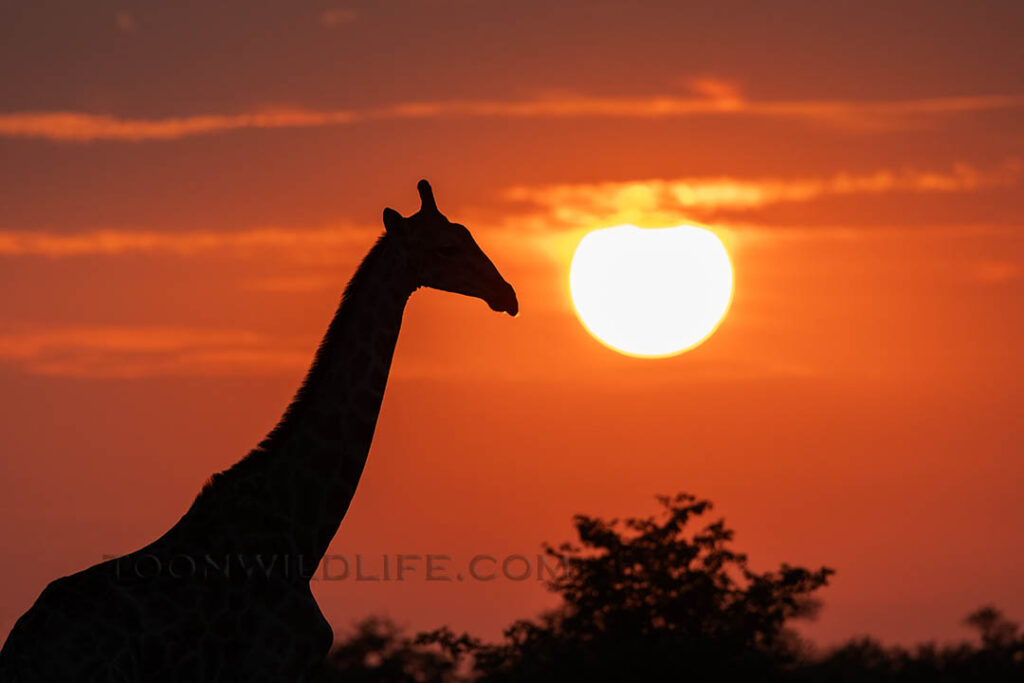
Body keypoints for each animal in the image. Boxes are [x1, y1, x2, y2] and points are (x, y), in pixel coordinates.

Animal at [0, 180, 518, 682]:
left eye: (468, 234)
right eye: (447, 248)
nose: (507, 294)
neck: (301, 532)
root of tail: (19, 652)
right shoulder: (273, 662)